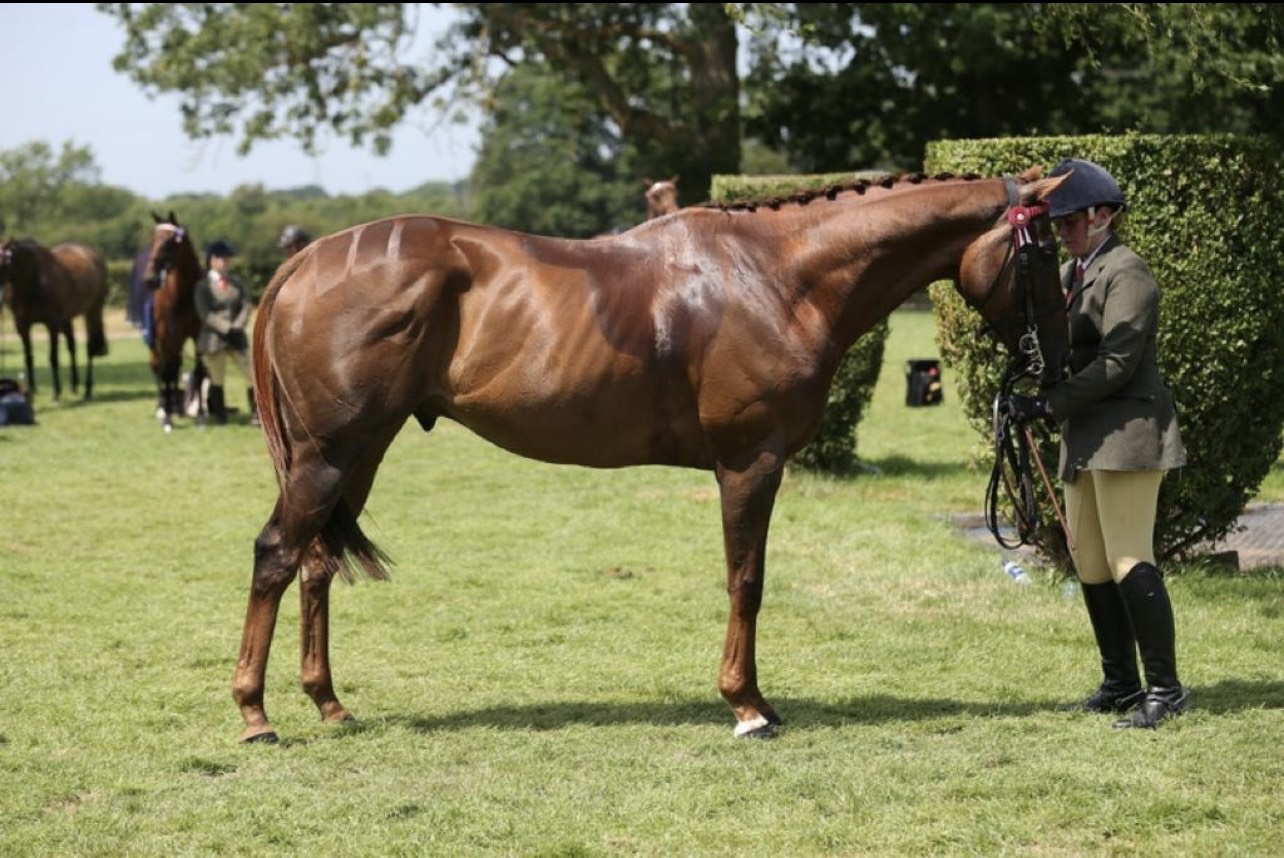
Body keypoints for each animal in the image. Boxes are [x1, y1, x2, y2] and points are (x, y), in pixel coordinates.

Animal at [0, 237, 108, 401]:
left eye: (5, 260)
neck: (35, 281)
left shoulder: (52, 324)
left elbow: (53, 357)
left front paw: (56, 392)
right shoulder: (22, 325)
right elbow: (28, 357)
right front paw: (32, 389)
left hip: (92, 311)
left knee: (89, 348)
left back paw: (87, 390)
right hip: (67, 319)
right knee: (72, 346)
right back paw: (74, 385)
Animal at [141, 211, 204, 432]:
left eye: (169, 242)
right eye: (152, 240)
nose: (149, 278)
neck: (183, 293)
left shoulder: (197, 335)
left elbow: (198, 372)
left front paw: (201, 416)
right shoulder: (167, 336)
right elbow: (166, 372)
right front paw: (167, 419)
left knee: (175, 366)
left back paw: (176, 406)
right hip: (158, 343)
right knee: (159, 368)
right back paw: (163, 408)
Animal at [231, 169, 1070, 744]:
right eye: (1042, 257)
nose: (1058, 358)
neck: (779, 275)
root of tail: (304, 263)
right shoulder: (750, 462)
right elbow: (746, 580)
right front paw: (747, 706)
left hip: (357, 453)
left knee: (315, 564)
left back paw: (329, 703)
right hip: (330, 455)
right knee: (276, 554)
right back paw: (254, 715)